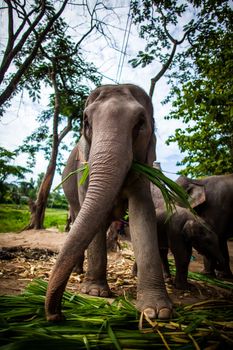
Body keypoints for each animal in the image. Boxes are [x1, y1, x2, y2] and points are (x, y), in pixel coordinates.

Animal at [45, 83, 173, 322]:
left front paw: (157, 311)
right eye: (86, 121)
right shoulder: (83, 170)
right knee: (77, 218)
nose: (57, 315)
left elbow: (142, 214)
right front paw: (95, 292)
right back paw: (78, 272)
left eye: (140, 123)